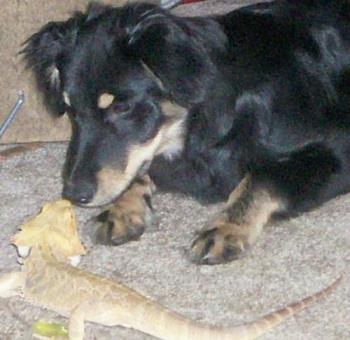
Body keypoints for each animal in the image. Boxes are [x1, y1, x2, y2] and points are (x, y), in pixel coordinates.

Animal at [23, 0, 350, 264]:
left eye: (122, 107)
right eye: (71, 109)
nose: (73, 194)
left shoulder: (338, 150)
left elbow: (260, 178)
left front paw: (226, 227)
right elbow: (139, 168)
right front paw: (121, 209)